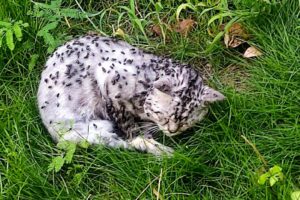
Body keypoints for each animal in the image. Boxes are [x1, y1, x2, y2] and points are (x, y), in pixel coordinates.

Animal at [37, 34, 225, 156]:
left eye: (186, 121)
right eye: (164, 116)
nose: (172, 131)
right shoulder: (108, 84)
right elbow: (129, 128)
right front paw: (147, 138)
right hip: (84, 129)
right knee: (113, 141)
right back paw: (163, 151)